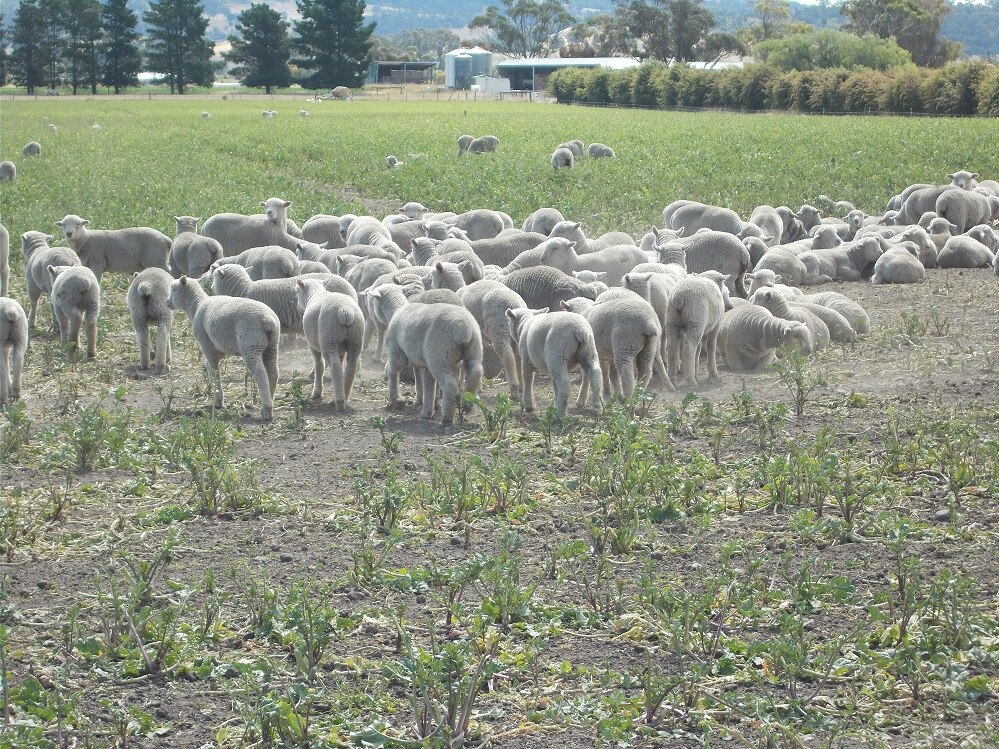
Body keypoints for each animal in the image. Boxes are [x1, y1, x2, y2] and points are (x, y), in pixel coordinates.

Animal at [168, 276, 280, 421]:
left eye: (173, 289)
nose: (167, 302)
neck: (197, 305)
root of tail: (268, 321)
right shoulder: (220, 347)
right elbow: (209, 367)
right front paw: (214, 392)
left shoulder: (206, 343)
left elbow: (215, 370)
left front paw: (218, 400)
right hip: (272, 345)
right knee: (273, 372)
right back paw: (269, 401)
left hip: (251, 344)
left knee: (260, 373)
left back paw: (266, 409)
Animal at [295, 279, 364, 409]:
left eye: (296, 292)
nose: (298, 307)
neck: (315, 293)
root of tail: (345, 310)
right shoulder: (341, 349)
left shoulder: (312, 345)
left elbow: (319, 365)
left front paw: (316, 392)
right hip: (355, 339)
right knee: (350, 367)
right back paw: (344, 396)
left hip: (329, 339)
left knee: (335, 366)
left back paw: (338, 401)